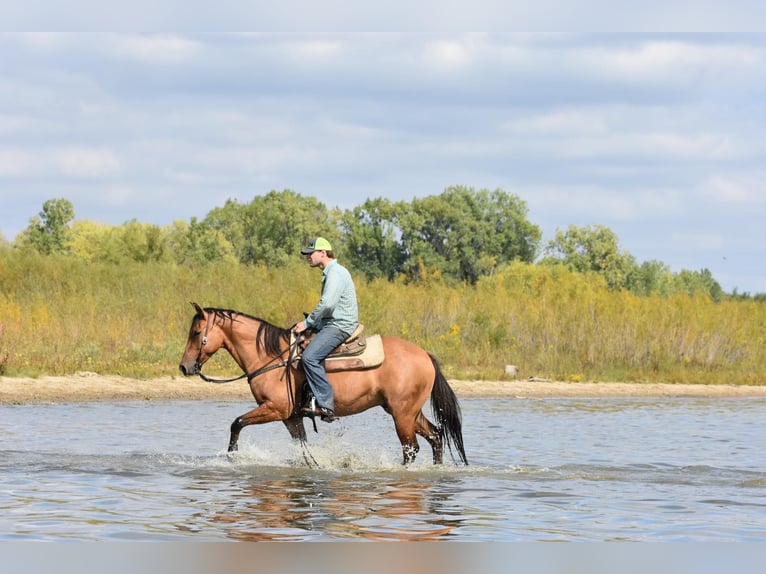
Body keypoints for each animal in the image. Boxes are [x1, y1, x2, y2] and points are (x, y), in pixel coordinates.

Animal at [180, 302, 468, 468]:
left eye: (196, 333)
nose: (185, 367)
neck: (271, 356)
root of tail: (425, 356)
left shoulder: (275, 408)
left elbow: (237, 423)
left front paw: (233, 457)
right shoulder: (292, 417)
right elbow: (303, 448)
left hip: (403, 415)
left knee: (412, 449)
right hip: (407, 412)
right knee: (436, 437)